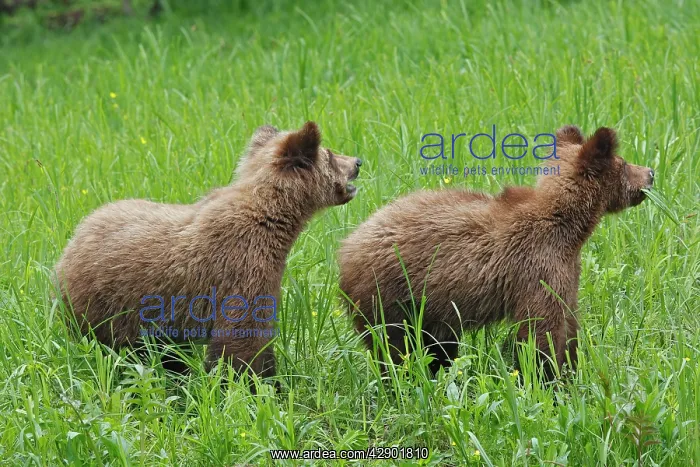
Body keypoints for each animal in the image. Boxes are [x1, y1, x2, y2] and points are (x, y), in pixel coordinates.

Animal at [55, 121, 362, 379]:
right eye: (331, 153)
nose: (358, 161)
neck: (275, 220)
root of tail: (69, 244)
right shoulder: (243, 264)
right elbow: (243, 336)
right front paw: (255, 383)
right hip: (107, 304)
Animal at [338, 126, 654, 379]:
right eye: (624, 163)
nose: (650, 173)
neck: (568, 228)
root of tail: (346, 247)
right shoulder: (536, 267)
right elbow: (541, 331)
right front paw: (547, 379)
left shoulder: (566, 267)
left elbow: (569, 321)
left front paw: (571, 370)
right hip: (389, 294)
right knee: (395, 347)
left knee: (437, 347)